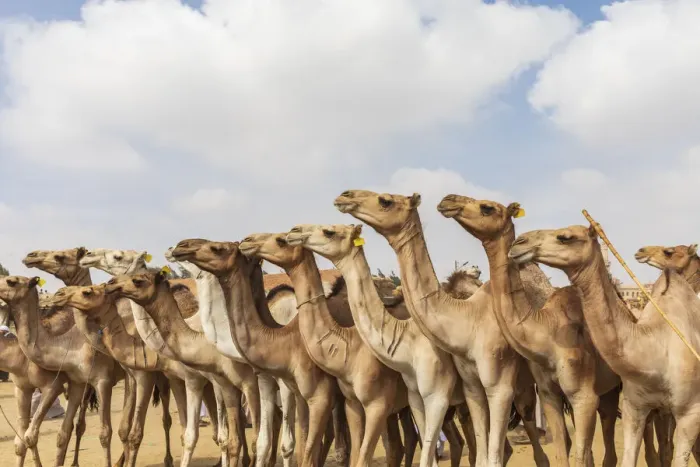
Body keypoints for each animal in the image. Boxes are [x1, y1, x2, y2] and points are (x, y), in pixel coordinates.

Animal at [23, 248, 178, 467]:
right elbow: (78, 424)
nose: (31, 256)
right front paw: (74, 462)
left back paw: (167, 458)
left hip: (160, 377)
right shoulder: (83, 381)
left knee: (165, 415)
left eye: (60, 256)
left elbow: (122, 427)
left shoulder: (113, 378)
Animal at [171, 239, 339, 467]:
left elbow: (286, 442)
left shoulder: (279, 383)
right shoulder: (259, 379)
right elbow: (258, 440)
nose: (180, 246)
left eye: (218, 248)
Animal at [334, 190, 548, 467]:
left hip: (527, 386)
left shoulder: (496, 384)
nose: (345, 195)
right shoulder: (461, 389)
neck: (468, 320)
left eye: (385, 201)